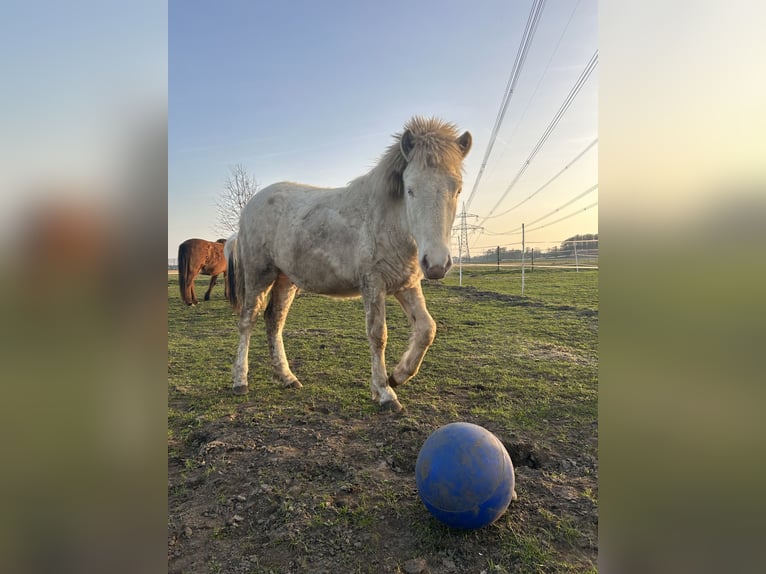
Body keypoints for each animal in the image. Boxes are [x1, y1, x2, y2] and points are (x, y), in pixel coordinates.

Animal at [227, 117, 472, 411]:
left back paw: (287, 378)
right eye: (410, 190)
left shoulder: (406, 284)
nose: (436, 263)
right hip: (259, 275)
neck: (388, 222)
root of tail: (251, 205)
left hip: (286, 280)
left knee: (274, 321)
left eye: (457, 189)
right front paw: (385, 393)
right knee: (247, 321)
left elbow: (427, 329)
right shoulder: (373, 284)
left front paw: (398, 376)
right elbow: (378, 335)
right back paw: (240, 381)